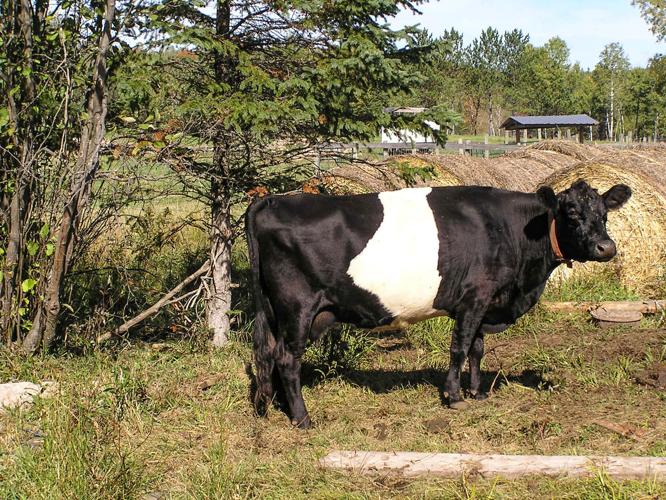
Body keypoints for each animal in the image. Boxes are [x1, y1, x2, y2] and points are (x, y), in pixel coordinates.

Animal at [245, 180, 632, 428]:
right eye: (571, 212)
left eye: (604, 214)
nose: (606, 247)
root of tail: (273, 201)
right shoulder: (475, 295)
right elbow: (459, 348)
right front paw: (454, 396)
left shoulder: (484, 302)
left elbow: (477, 348)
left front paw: (477, 392)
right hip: (298, 307)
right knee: (287, 359)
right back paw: (302, 418)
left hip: (281, 312)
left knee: (273, 356)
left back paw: (281, 406)